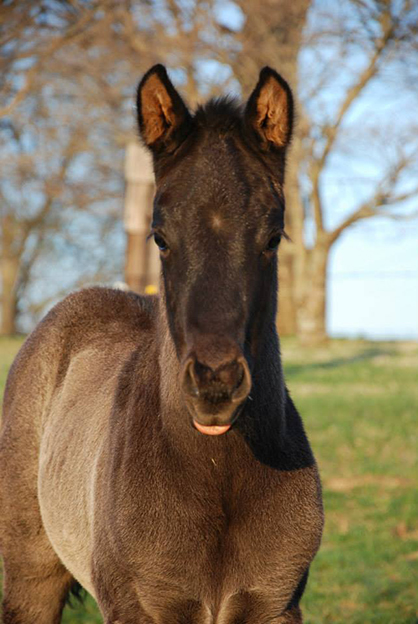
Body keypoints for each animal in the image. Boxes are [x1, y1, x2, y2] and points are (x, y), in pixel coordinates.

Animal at [0, 64, 324, 624]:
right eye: (161, 237)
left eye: (272, 237)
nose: (215, 383)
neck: (216, 476)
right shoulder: (140, 608)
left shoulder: (276, 605)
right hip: (29, 576)